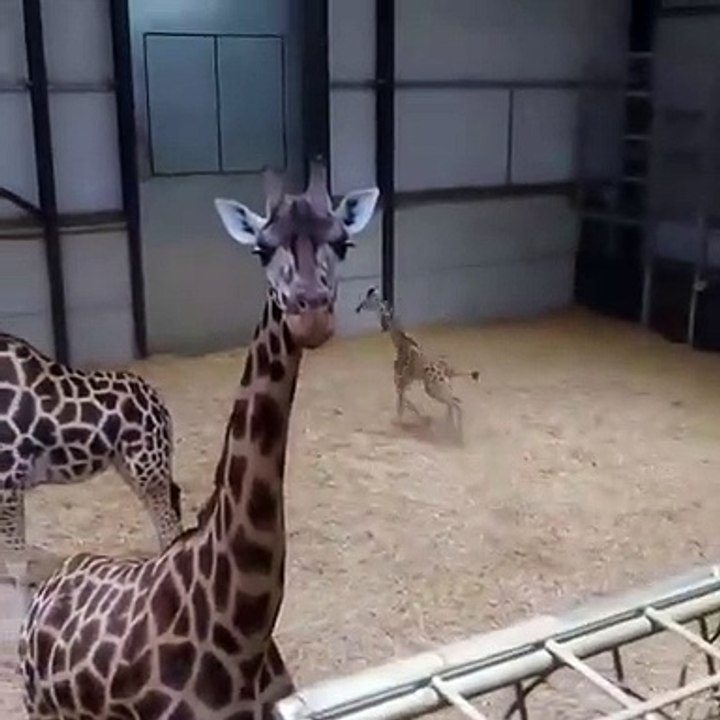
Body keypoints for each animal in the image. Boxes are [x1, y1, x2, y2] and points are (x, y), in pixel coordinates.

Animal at [0, 332, 182, 554]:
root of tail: (159, 404)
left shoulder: (8, 478)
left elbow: (14, 550)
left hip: (146, 465)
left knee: (168, 519)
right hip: (130, 463)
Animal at [355, 287, 480, 441]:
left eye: (368, 301)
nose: (357, 308)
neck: (399, 342)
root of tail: (446, 372)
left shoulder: (400, 381)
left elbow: (401, 406)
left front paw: (400, 425)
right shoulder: (406, 382)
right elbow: (406, 403)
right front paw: (421, 418)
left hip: (433, 390)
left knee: (455, 404)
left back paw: (455, 435)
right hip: (440, 388)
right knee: (454, 403)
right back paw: (451, 430)